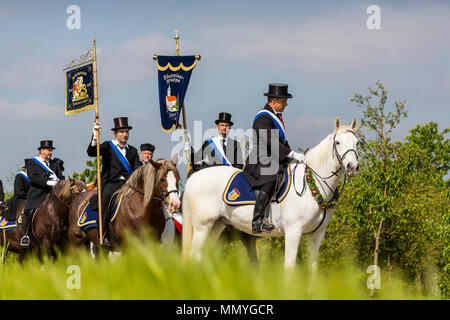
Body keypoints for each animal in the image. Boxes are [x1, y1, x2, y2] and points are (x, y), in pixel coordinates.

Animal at [181, 116, 360, 268]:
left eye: (357, 143)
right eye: (338, 142)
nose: (352, 167)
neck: (313, 184)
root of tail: (194, 177)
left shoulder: (316, 234)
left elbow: (313, 268)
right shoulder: (294, 230)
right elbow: (289, 266)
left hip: (217, 226)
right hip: (203, 226)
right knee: (195, 256)